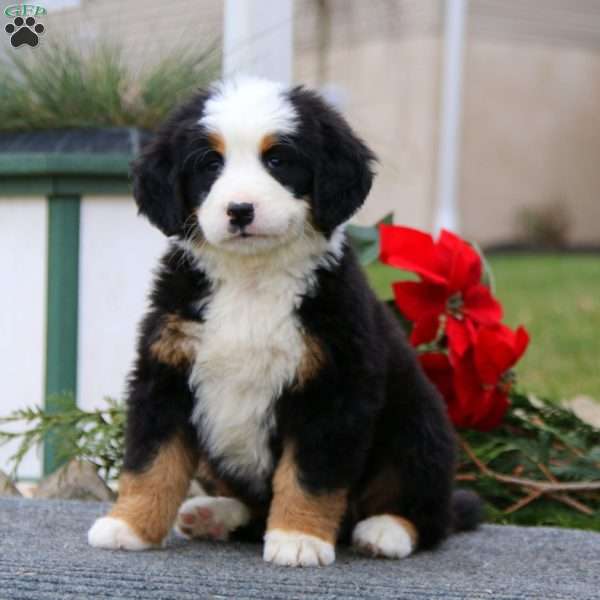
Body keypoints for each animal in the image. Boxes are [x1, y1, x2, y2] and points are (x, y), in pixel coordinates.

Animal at [89, 77, 480, 564]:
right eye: (210, 164)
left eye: (277, 160)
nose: (240, 210)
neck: (251, 280)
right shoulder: (166, 373)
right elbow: (151, 462)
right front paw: (129, 525)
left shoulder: (334, 386)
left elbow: (310, 476)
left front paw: (299, 538)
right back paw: (213, 514)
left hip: (420, 423)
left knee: (430, 511)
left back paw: (386, 530)